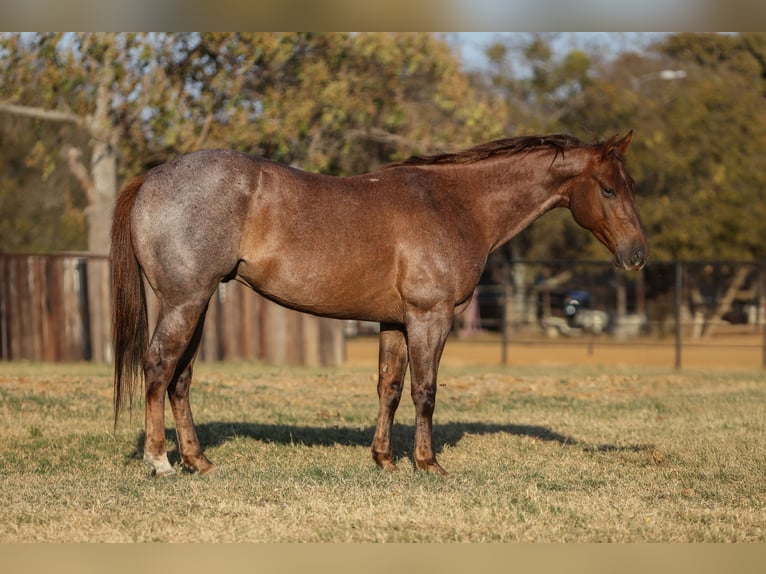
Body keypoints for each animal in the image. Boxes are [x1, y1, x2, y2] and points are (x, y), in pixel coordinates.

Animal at [111, 131, 647, 477]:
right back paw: (160, 461)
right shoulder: (430, 318)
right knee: (158, 368)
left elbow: (389, 388)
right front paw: (428, 463)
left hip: (196, 305)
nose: (637, 254)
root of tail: (152, 178)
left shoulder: (394, 322)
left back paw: (198, 461)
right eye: (607, 188)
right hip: (185, 302)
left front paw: (384, 459)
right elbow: (425, 392)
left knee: (180, 379)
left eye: (631, 187)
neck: (455, 204)